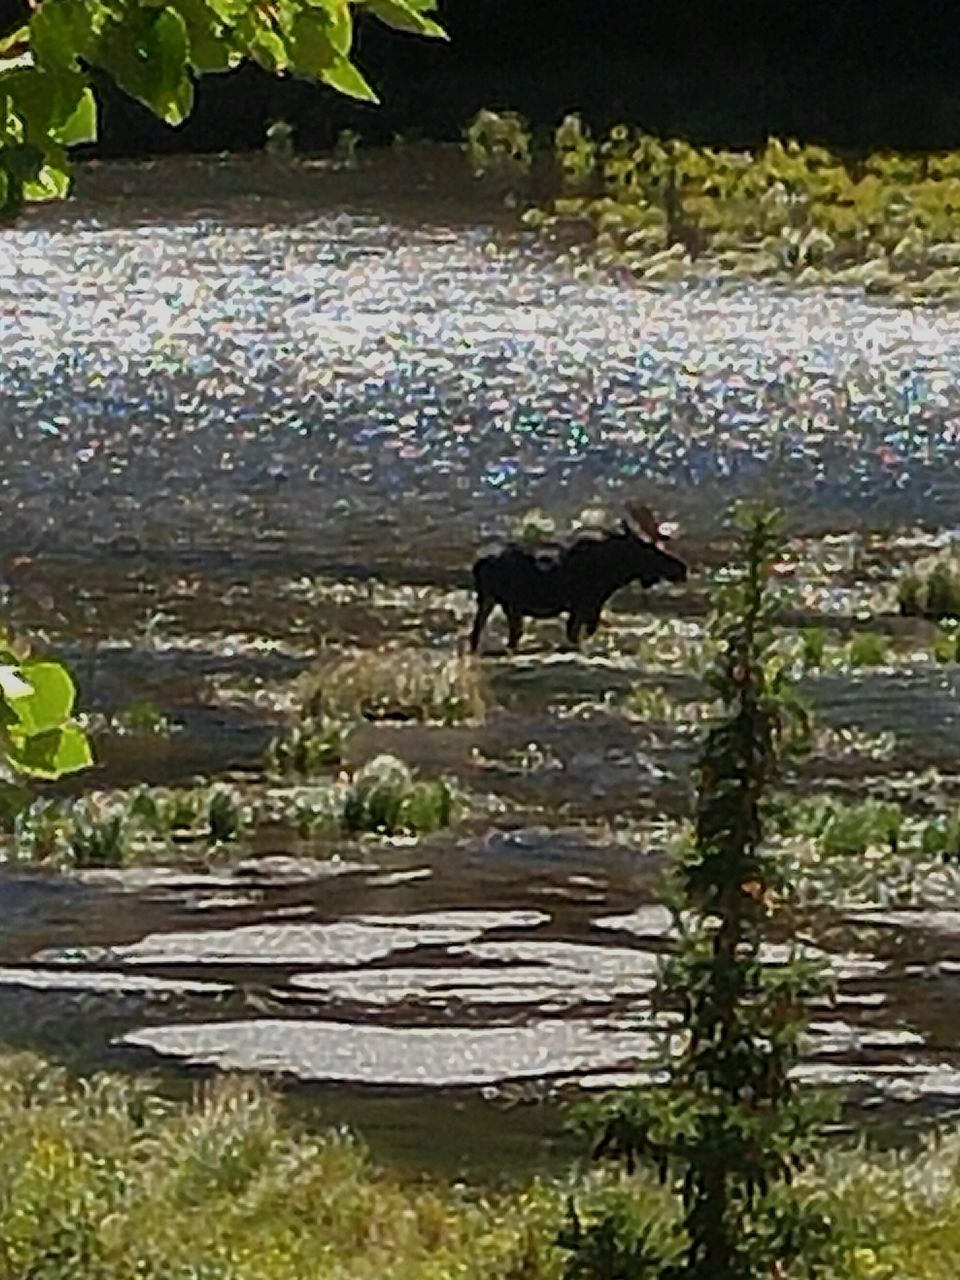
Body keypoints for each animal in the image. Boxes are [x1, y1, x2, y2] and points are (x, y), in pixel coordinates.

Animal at [468, 501, 686, 655]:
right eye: (649, 548)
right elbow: (577, 633)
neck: (615, 569)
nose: (681, 569)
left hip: (488, 600)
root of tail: (479, 562)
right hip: (509, 604)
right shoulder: (586, 603)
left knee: (477, 633)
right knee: (508, 636)